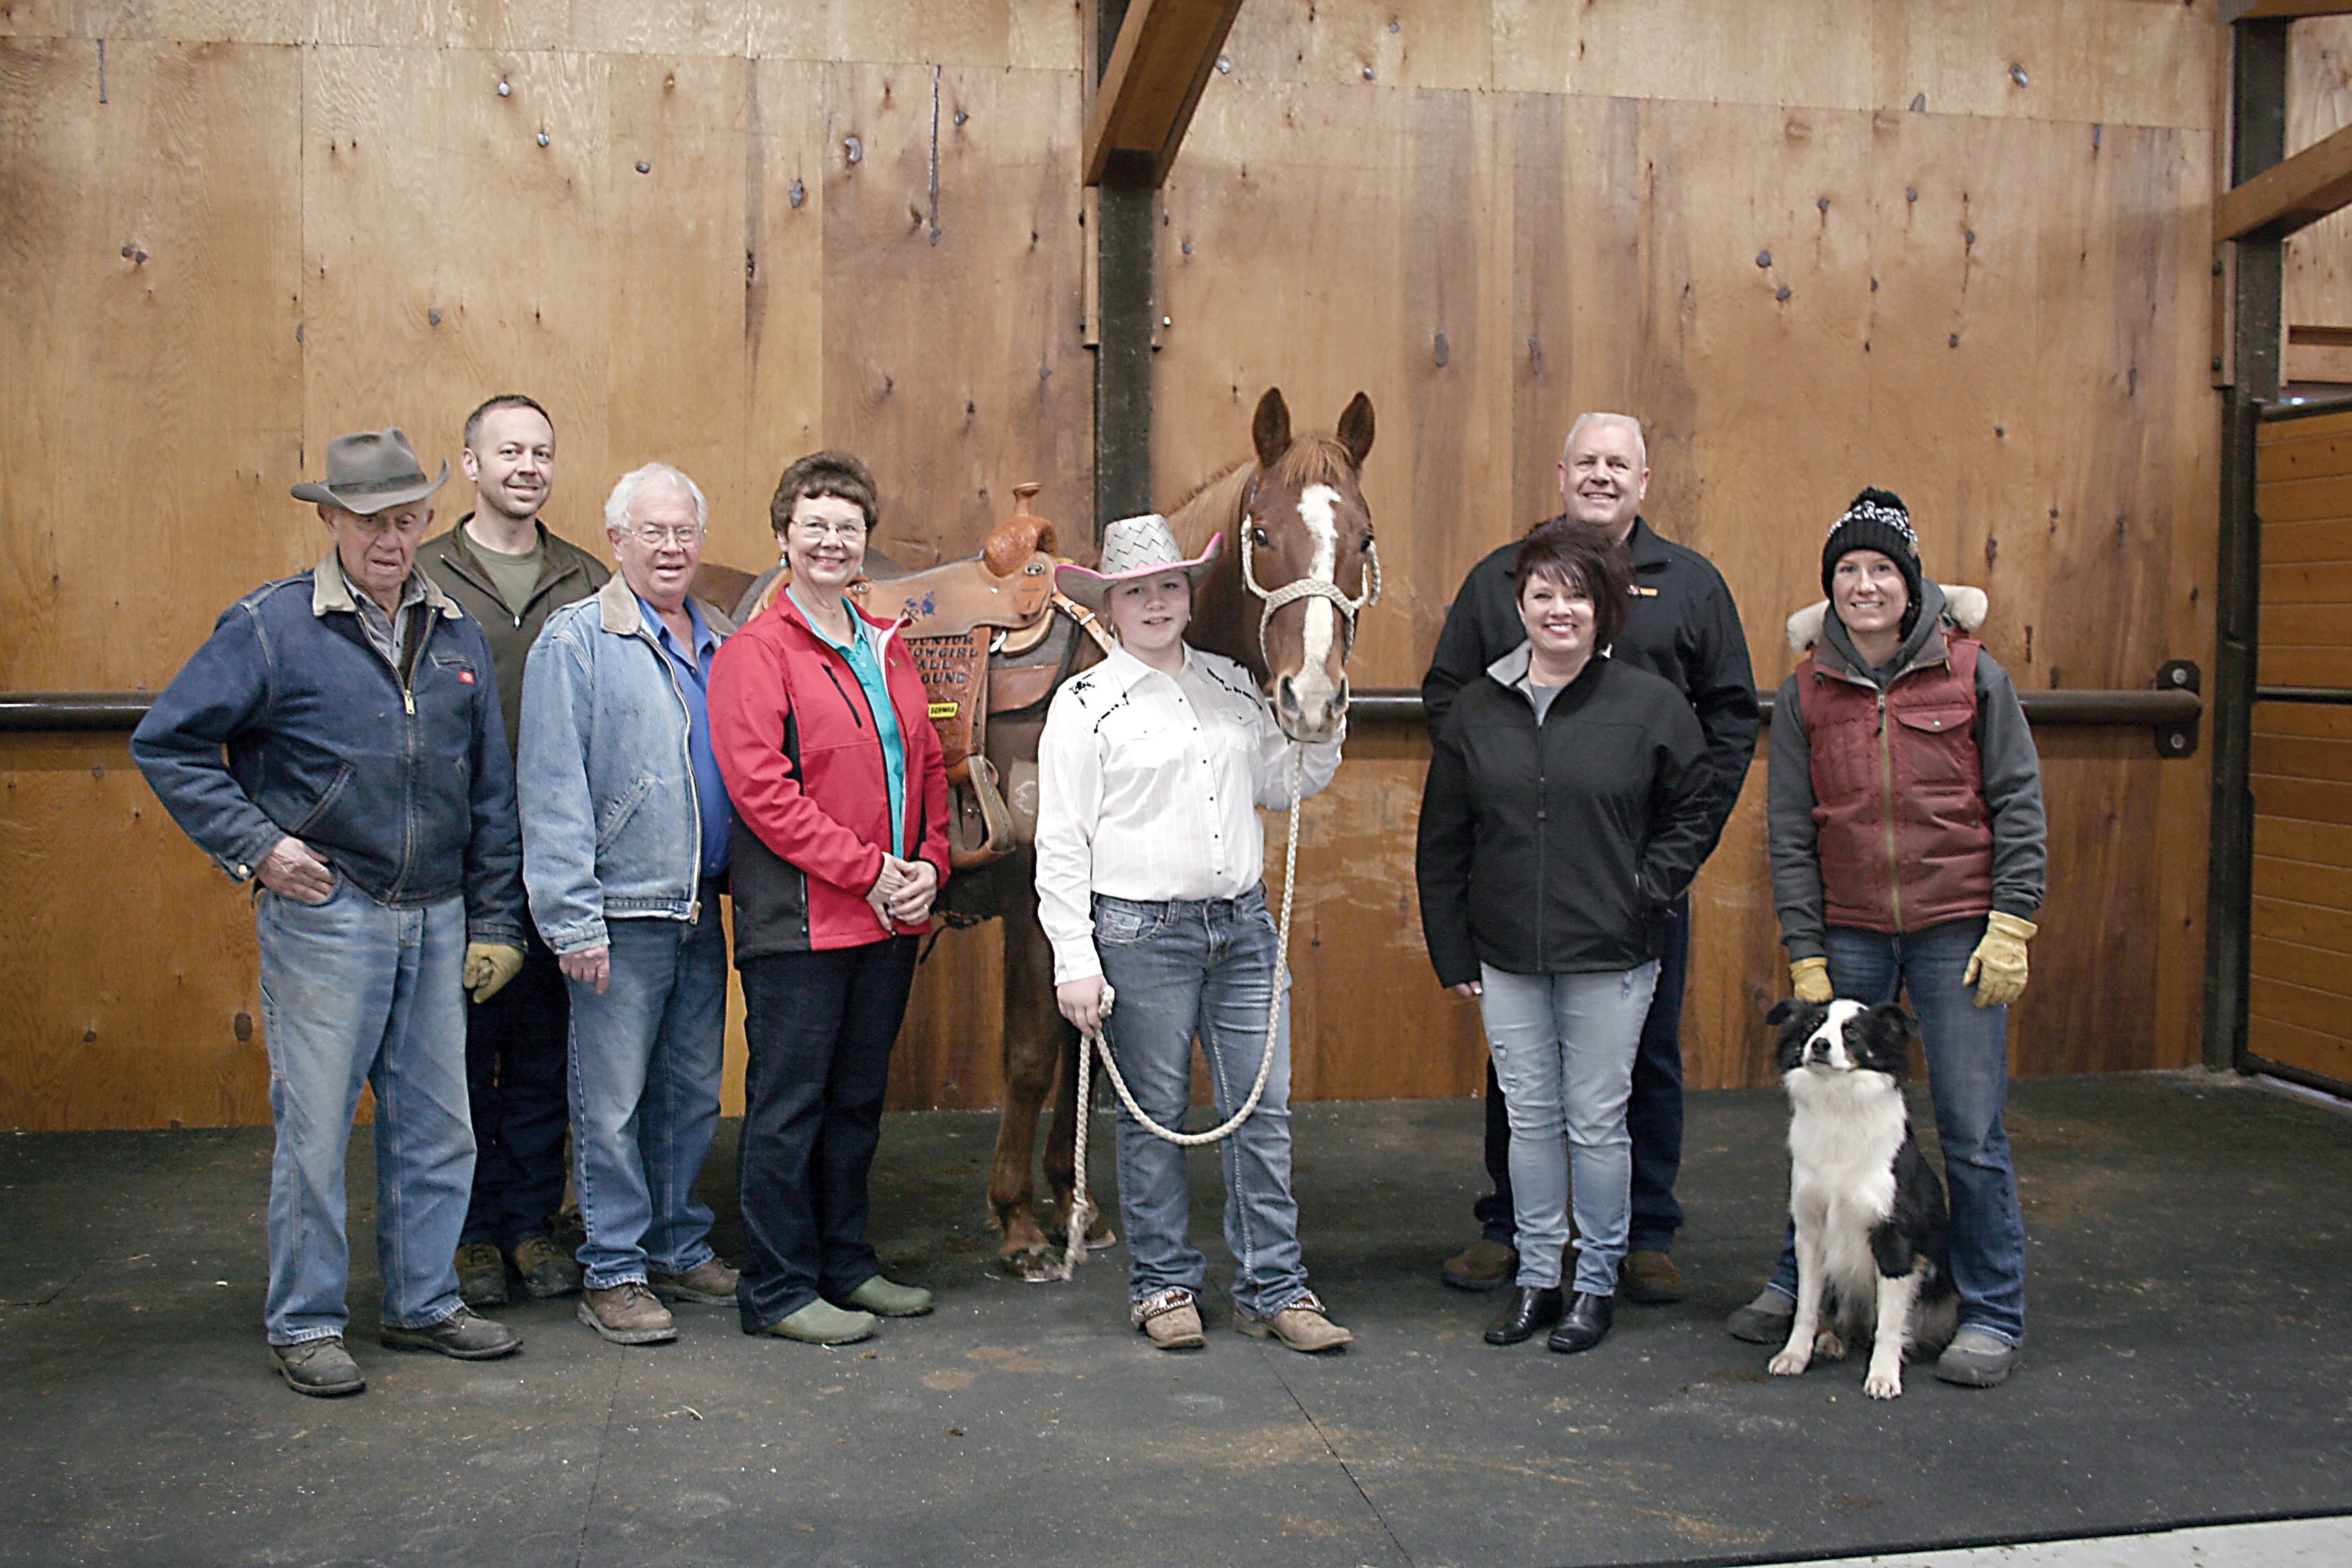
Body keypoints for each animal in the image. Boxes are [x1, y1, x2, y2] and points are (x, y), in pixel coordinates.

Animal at [973, 385, 1373, 1279]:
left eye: (1363, 538)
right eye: (1262, 535)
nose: (1313, 700)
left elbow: (1088, 1049)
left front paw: (1073, 1202)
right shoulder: (1034, 906)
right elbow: (1032, 1055)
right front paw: (1017, 1223)